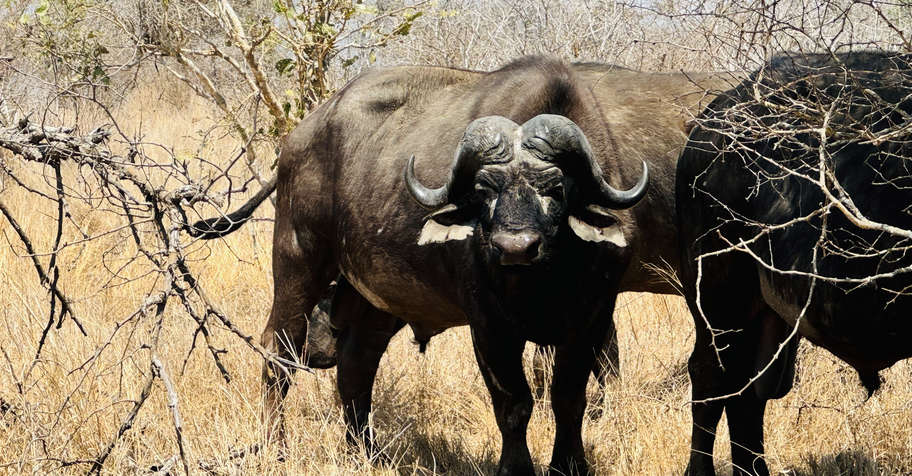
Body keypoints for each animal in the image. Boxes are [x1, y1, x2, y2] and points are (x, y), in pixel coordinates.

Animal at [191, 57, 721, 475]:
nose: (514, 246)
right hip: (299, 259)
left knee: (356, 365)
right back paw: (275, 447)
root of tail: (301, 135)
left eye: (556, 188)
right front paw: (516, 468)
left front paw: (569, 465)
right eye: (485, 189)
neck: (540, 280)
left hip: (374, 297)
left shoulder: (591, 316)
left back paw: (367, 453)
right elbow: (515, 403)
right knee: (277, 352)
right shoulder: (488, 325)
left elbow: (570, 397)